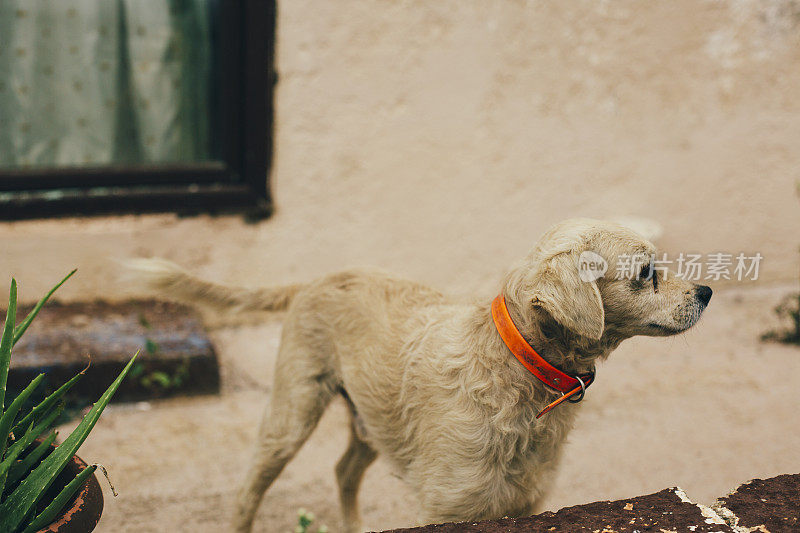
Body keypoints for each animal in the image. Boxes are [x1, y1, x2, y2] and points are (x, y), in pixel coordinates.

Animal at [128, 218, 716, 528]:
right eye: (647, 273)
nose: (707, 291)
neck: (514, 372)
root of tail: (318, 279)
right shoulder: (450, 507)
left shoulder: (524, 503)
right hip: (291, 414)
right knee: (249, 489)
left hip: (369, 420)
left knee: (343, 471)